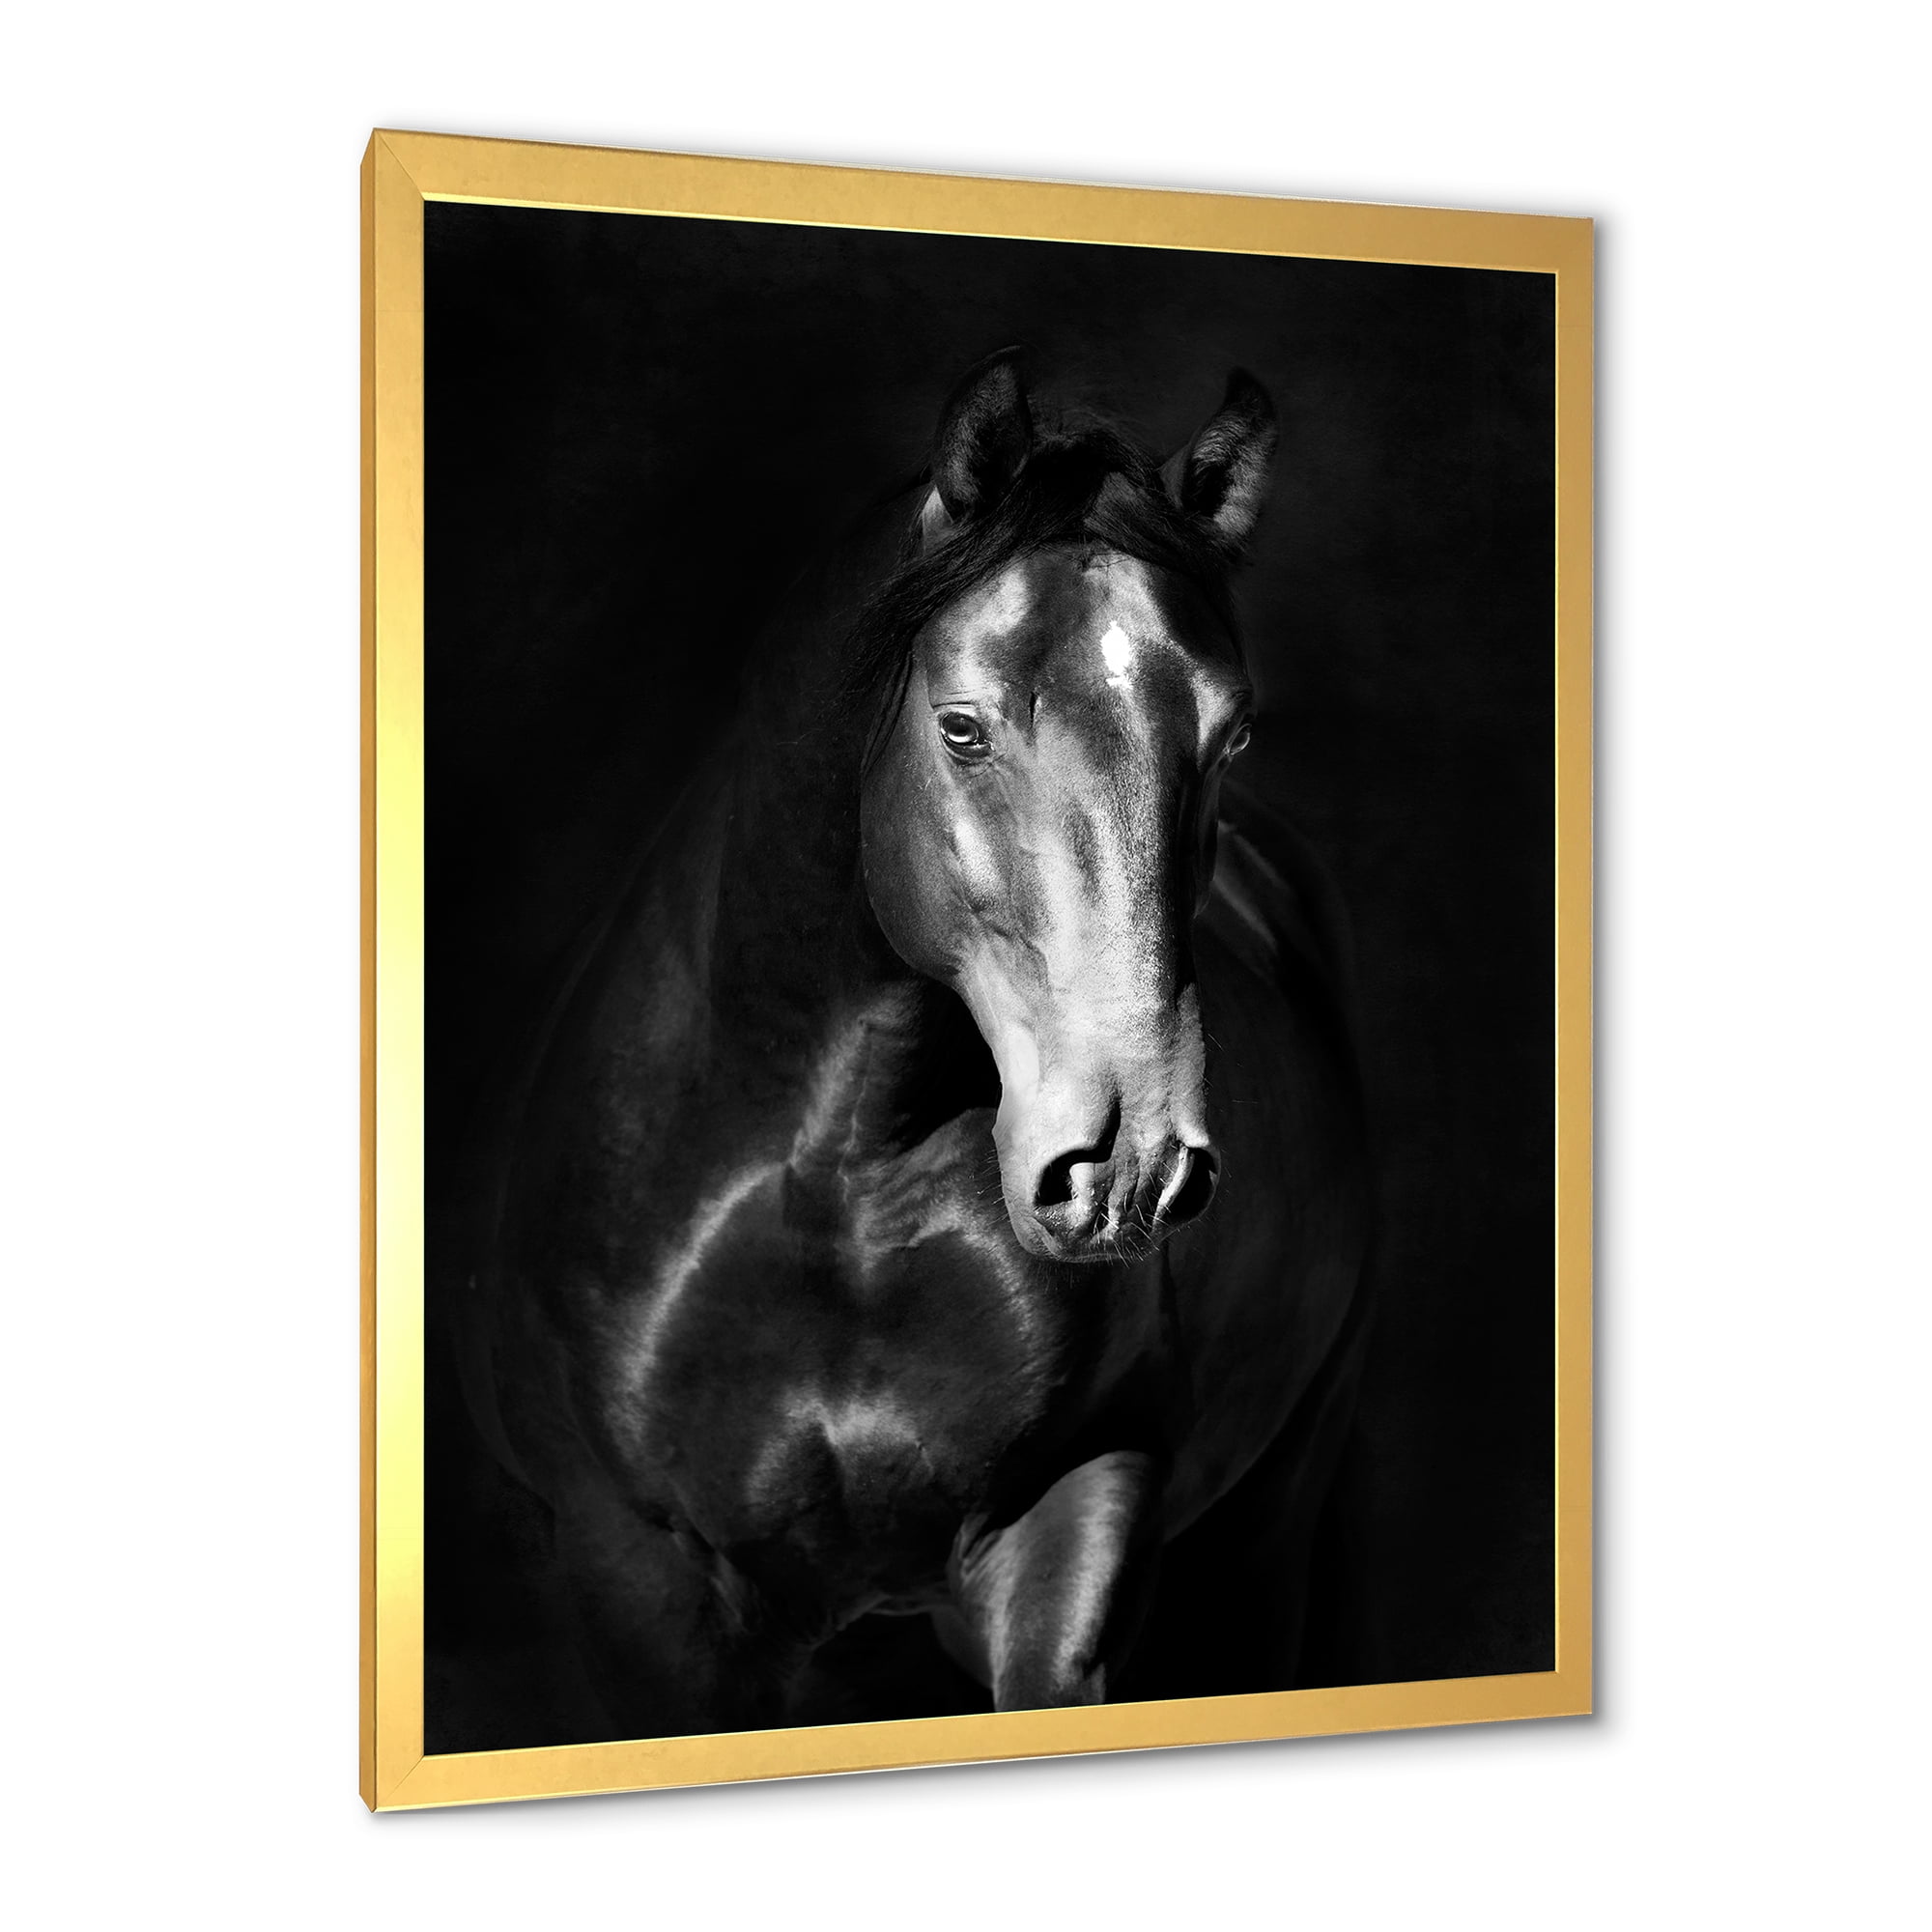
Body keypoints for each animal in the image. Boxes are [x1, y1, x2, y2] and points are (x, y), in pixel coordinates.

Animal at [448, 349, 1374, 1740]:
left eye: (1234, 735)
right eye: (962, 727)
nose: (1128, 1166)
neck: (840, 1185)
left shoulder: (1075, 1514)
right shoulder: (641, 1582)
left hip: (1268, 1527)